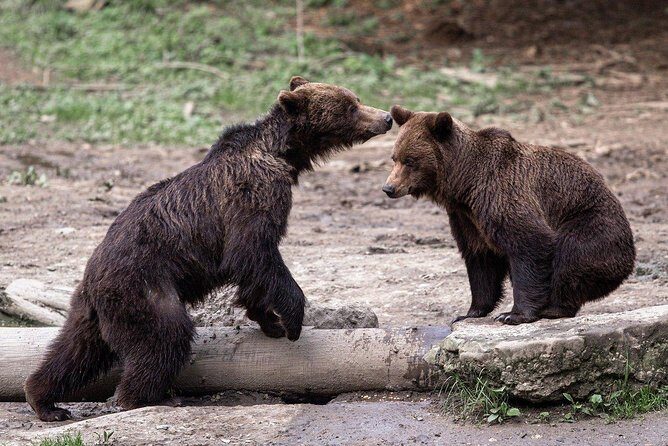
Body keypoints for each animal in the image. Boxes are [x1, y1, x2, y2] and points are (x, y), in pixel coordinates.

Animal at [24, 76, 393, 422]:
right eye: (350, 107)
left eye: (356, 98)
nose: (387, 117)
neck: (284, 155)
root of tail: (93, 276)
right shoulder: (251, 196)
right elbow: (253, 253)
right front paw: (291, 320)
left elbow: (254, 270)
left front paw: (268, 320)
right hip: (145, 288)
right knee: (165, 336)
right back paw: (146, 397)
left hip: (93, 308)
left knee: (76, 351)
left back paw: (45, 400)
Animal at [382, 105, 635, 325]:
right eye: (394, 157)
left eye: (410, 160)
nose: (389, 188)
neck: (464, 183)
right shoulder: (467, 218)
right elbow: (481, 260)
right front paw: (470, 312)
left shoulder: (502, 195)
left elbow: (531, 244)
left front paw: (513, 315)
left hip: (589, 221)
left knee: (571, 256)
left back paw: (554, 308)